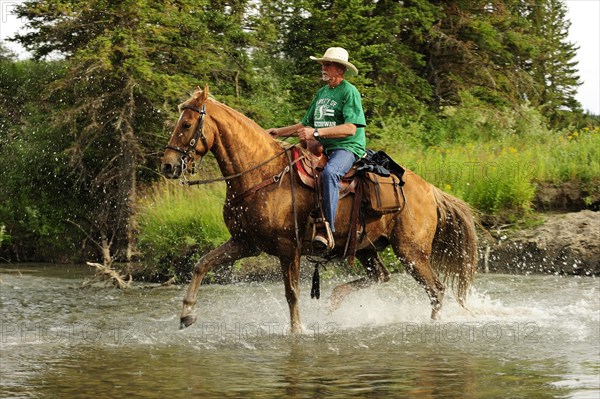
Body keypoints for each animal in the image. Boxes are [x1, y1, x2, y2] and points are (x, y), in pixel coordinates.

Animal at [161, 87, 478, 334]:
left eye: (186, 124)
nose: (167, 165)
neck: (263, 174)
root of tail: (430, 190)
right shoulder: (245, 243)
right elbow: (202, 263)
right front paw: (186, 314)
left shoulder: (287, 247)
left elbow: (291, 293)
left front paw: (297, 331)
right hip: (366, 247)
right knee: (382, 276)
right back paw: (335, 302)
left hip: (411, 252)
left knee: (435, 289)